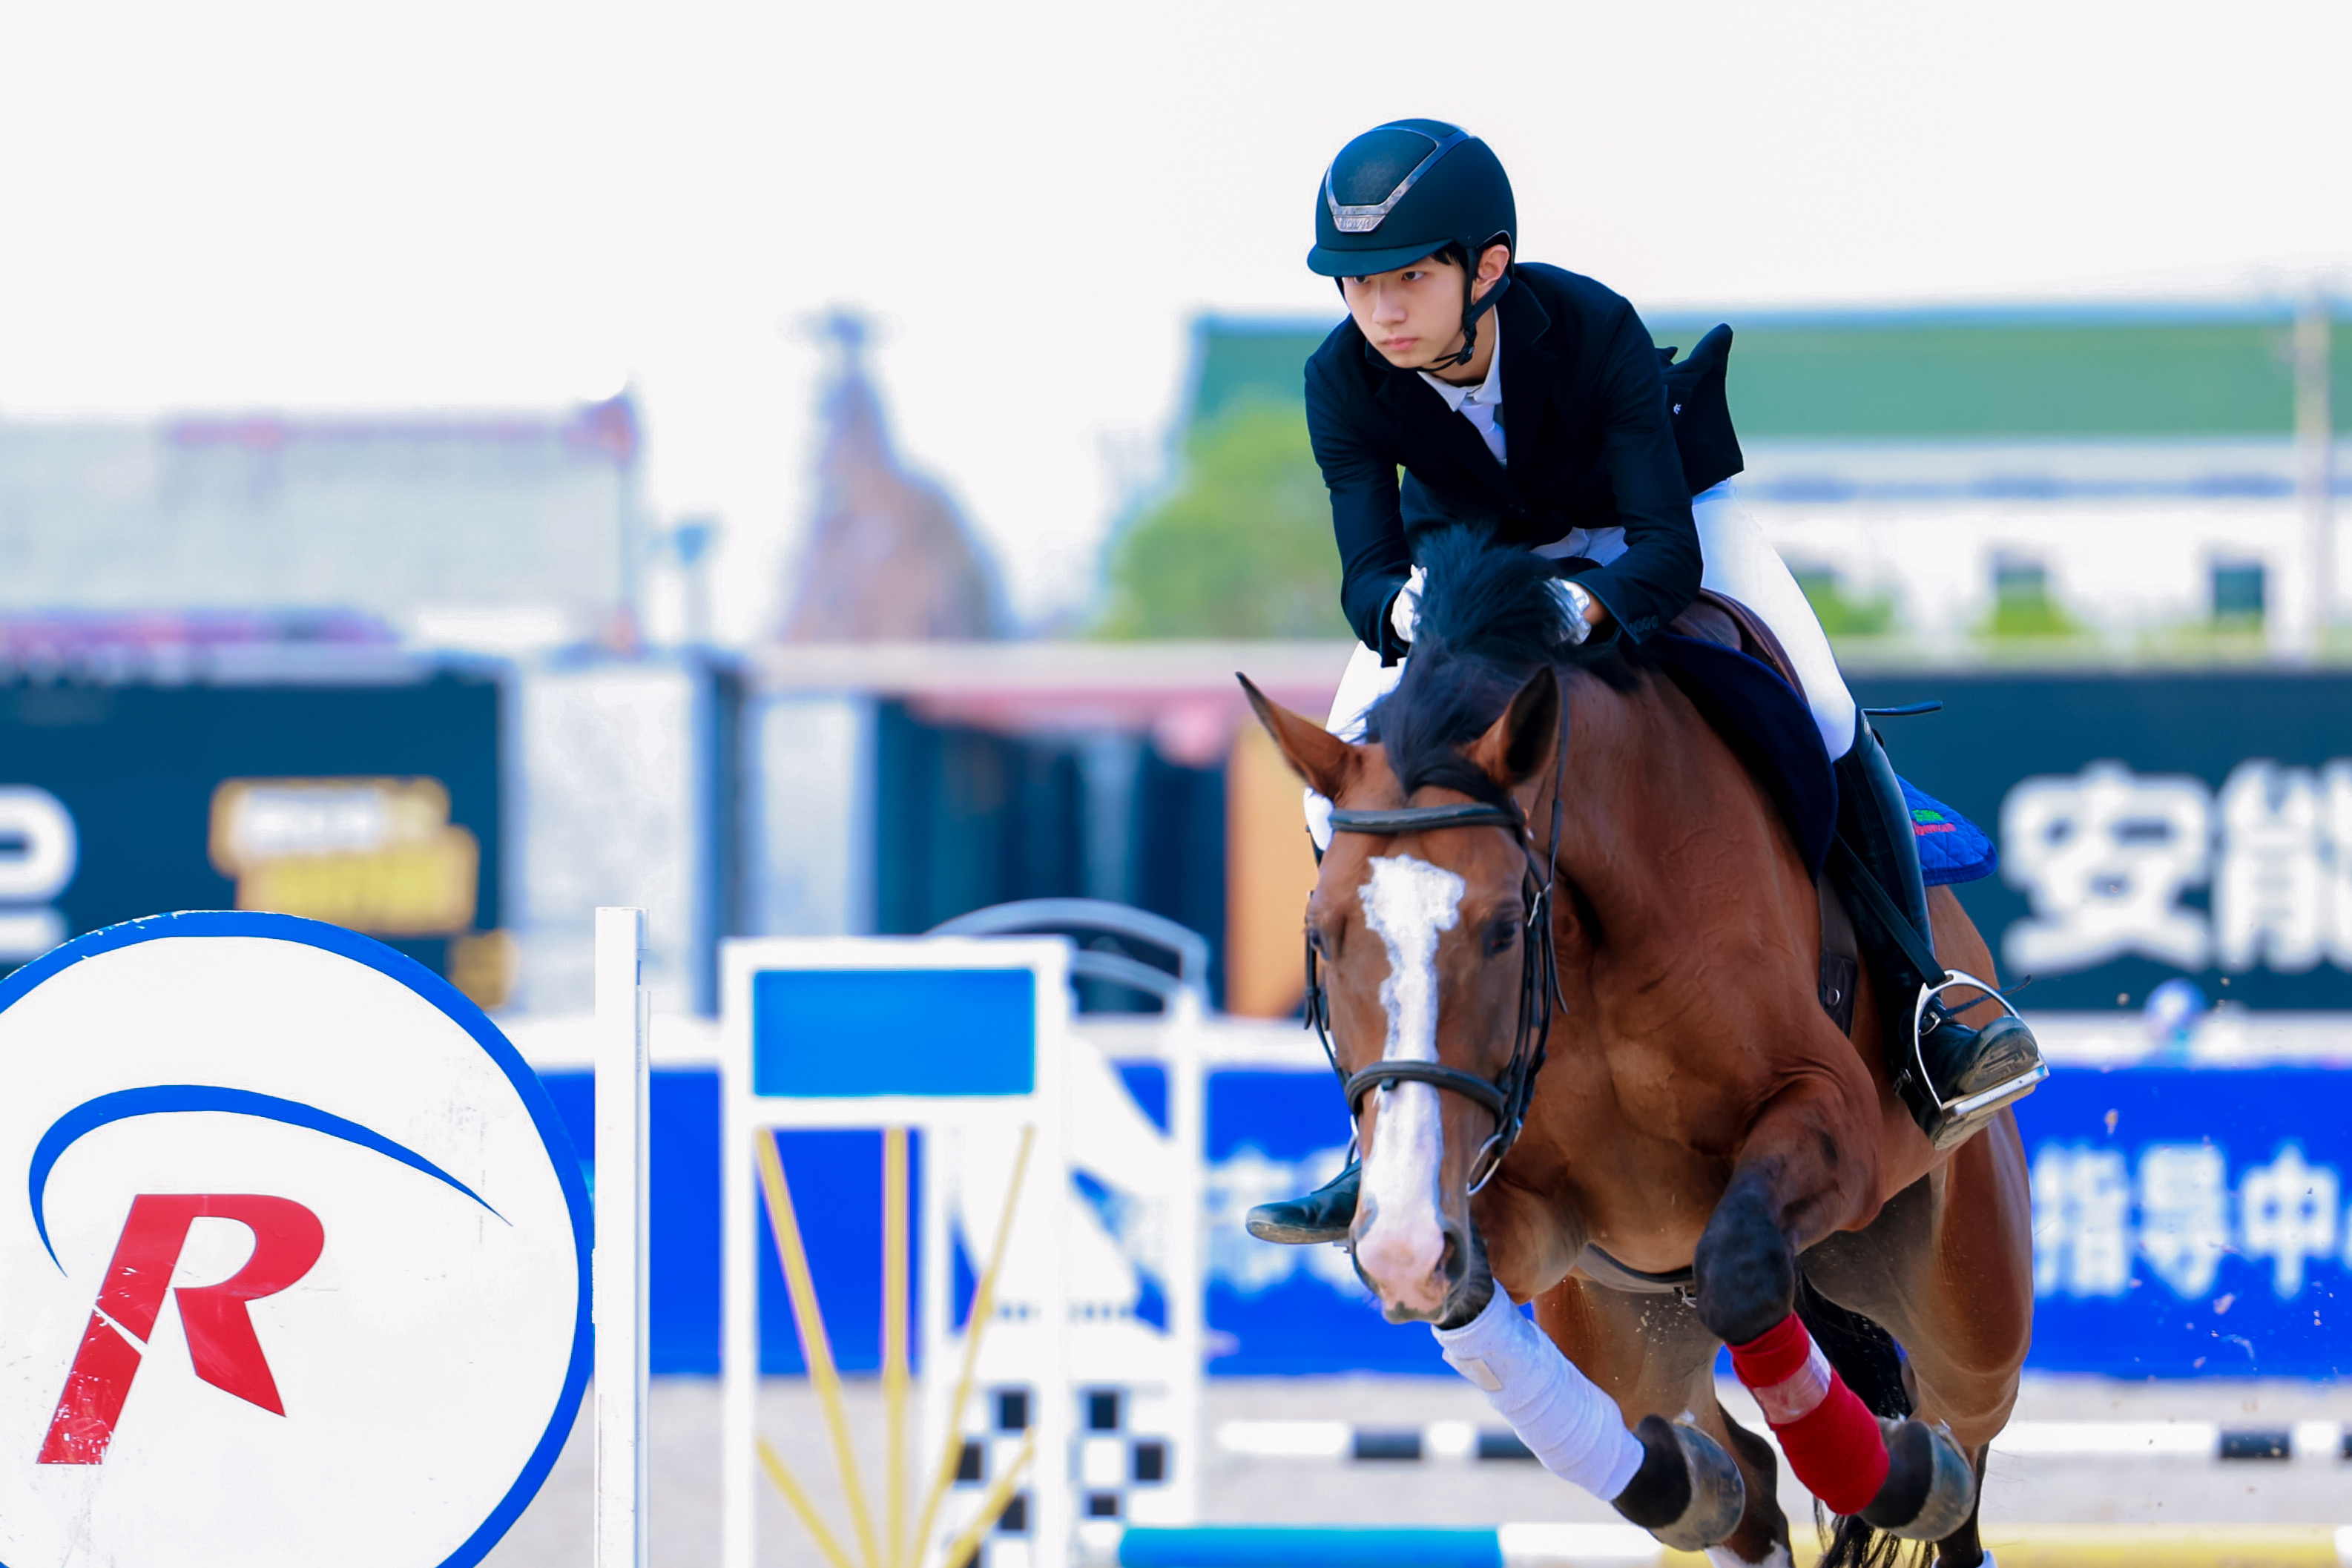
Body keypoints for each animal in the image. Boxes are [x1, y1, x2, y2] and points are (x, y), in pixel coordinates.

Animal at [1242, 533, 2032, 1561]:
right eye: (1324, 934)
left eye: (1503, 928)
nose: (1403, 1239)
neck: (1586, 949)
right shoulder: (1519, 1206)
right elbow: (1467, 1302)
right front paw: (1673, 1483)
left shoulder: (1832, 1117)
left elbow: (1742, 1268)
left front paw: (1893, 1477)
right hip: (1628, 1324)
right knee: (1742, 1468)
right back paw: (1699, 1478)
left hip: (1967, 1308)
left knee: (1956, 1448)